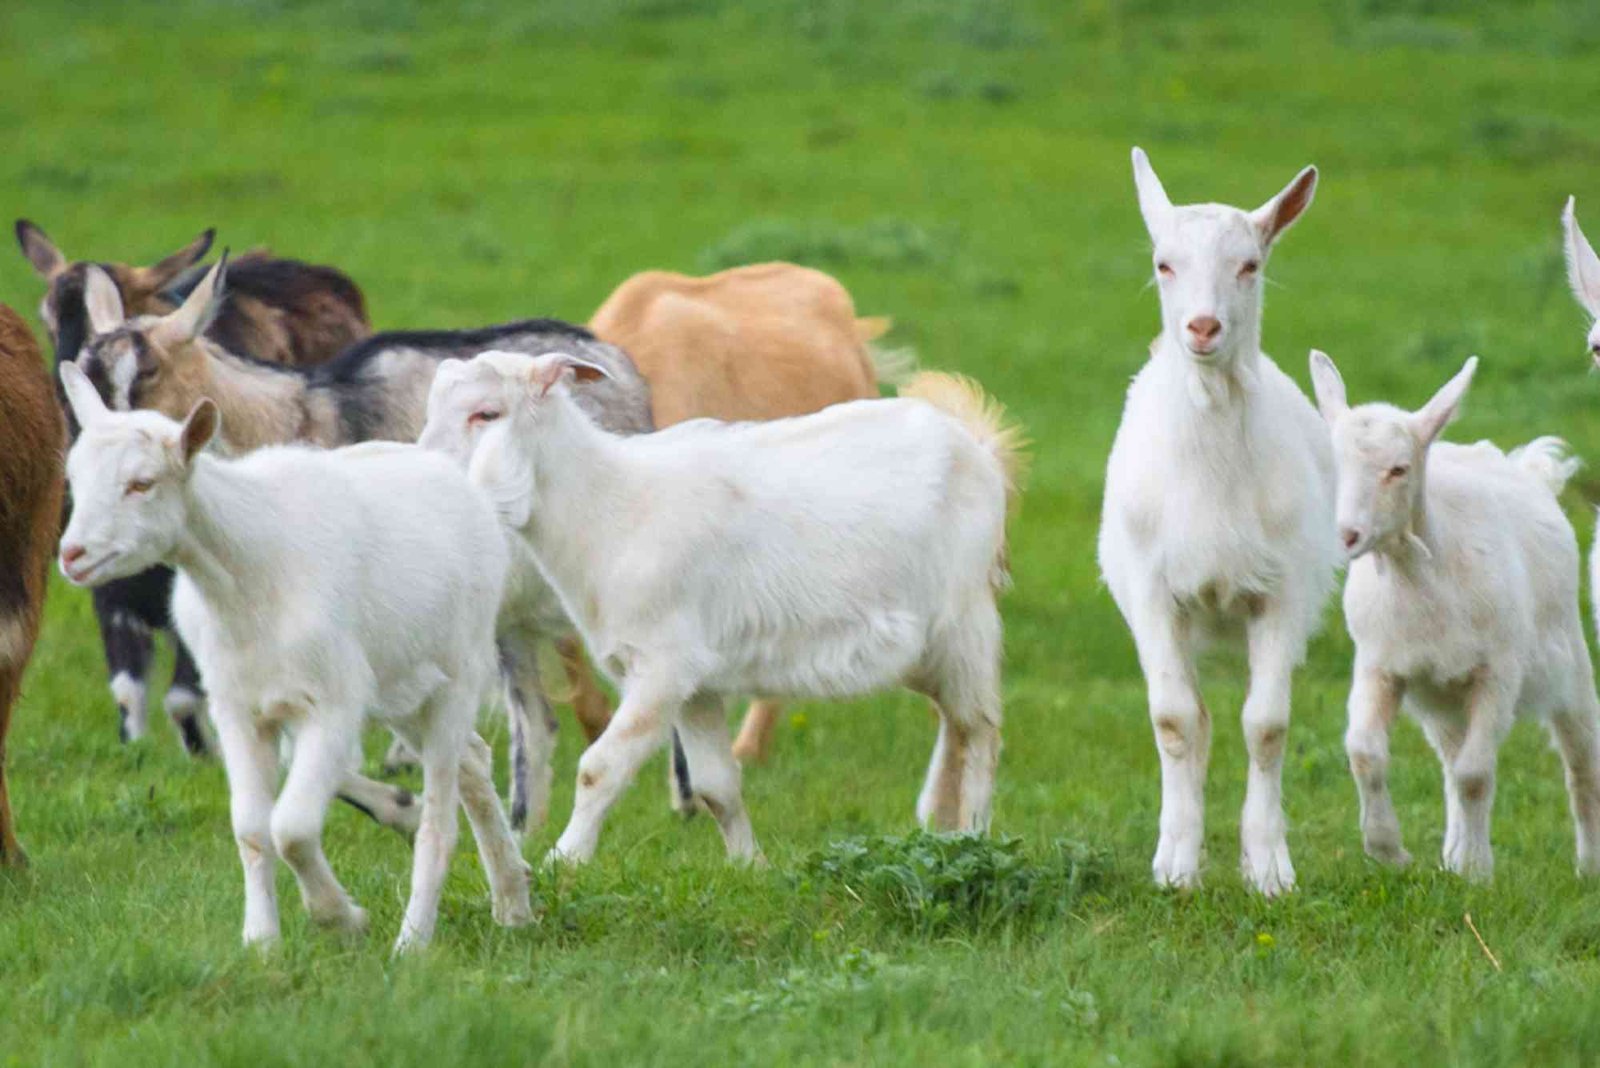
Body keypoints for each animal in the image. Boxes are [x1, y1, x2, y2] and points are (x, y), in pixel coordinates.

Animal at [56, 362, 530, 950]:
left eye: (142, 484)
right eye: (74, 480)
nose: (73, 556)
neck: (251, 576)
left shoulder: (332, 704)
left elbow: (293, 827)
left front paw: (342, 918)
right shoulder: (238, 708)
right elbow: (252, 828)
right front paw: (261, 941)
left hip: (457, 673)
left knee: (441, 819)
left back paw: (414, 940)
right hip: (402, 684)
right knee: (474, 761)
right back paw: (513, 900)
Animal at [464, 351, 1023, 865]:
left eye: (487, 413)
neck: (607, 505)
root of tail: (977, 447)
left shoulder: (663, 666)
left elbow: (600, 767)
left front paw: (564, 861)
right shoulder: (696, 684)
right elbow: (717, 787)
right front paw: (749, 867)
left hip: (966, 625)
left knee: (982, 732)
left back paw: (974, 836)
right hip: (925, 653)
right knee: (954, 724)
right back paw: (941, 824)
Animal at [1098, 148, 1338, 895]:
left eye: (1250, 265)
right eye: (1163, 263)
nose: (1203, 328)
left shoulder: (1282, 592)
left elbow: (1266, 725)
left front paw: (1269, 867)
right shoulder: (1152, 592)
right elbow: (1176, 721)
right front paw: (1176, 864)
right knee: (1196, 719)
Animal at [1310, 352, 1600, 880]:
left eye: (1399, 469)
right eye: (1332, 465)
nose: (1347, 536)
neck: (1418, 579)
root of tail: (1525, 466)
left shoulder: (1498, 673)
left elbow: (1475, 774)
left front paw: (1478, 870)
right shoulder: (1380, 665)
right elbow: (1365, 753)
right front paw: (1389, 850)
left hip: (1569, 662)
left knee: (1581, 764)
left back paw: (1587, 866)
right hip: (1441, 697)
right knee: (1448, 760)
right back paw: (1453, 852)